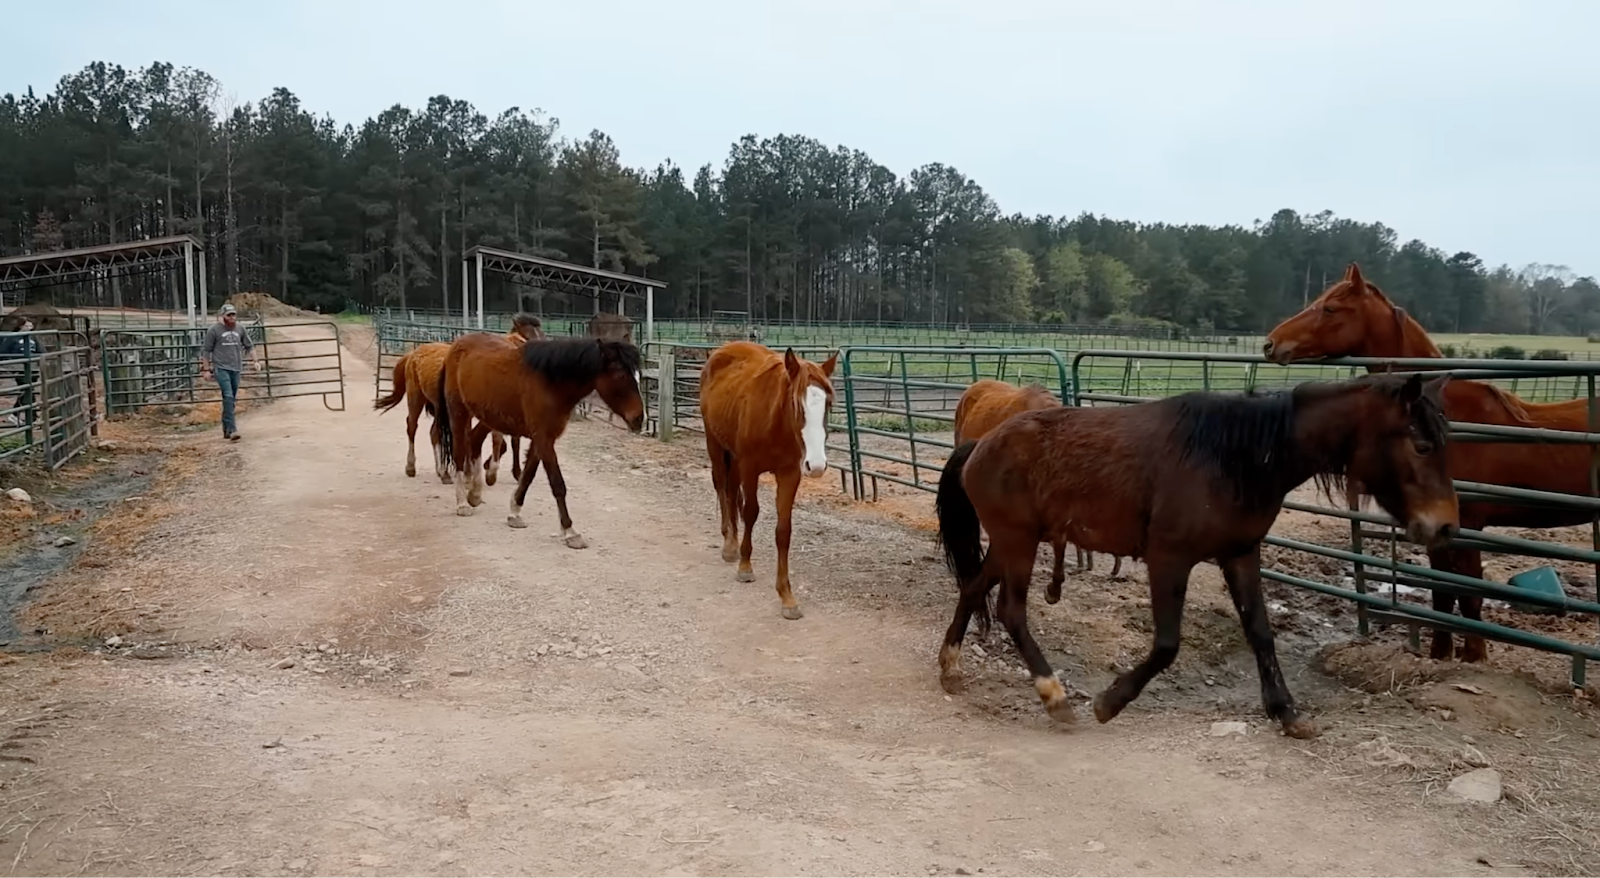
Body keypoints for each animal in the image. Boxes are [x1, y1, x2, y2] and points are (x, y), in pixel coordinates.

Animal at [437, 334, 644, 548]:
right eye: (621, 376)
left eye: (639, 376)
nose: (639, 419)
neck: (550, 381)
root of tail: (456, 346)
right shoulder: (544, 439)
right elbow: (557, 484)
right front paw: (570, 532)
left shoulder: (542, 438)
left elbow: (527, 476)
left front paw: (515, 513)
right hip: (458, 412)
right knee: (459, 452)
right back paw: (462, 502)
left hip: (487, 416)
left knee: (474, 441)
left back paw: (475, 494)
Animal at [699, 342, 838, 620]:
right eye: (797, 403)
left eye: (828, 404)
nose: (817, 465)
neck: (778, 425)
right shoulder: (750, 468)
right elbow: (750, 512)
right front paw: (745, 566)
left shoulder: (790, 474)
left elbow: (783, 530)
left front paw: (787, 596)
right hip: (715, 445)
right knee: (722, 488)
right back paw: (729, 544)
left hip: (733, 457)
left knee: (731, 493)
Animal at [935, 372, 1460, 739]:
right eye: (1421, 444)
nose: (1446, 526)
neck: (1238, 455)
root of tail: (979, 445)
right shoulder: (1168, 558)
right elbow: (1168, 644)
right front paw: (1110, 702)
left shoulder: (1241, 555)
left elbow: (1261, 633)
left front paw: (1286, 711)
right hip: (1018, 543)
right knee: (1011, 611)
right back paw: (1055, 698)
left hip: (1010, 543)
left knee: (973, 587)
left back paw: (950, 667)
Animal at [1263, 262, 1595, 663]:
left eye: (1329, 308)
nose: (1270, 344)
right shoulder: (1439, 528)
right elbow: (1442, 594)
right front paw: (1440, 653)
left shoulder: (1467, 527)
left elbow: (1468, 595)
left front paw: (1474, 657)